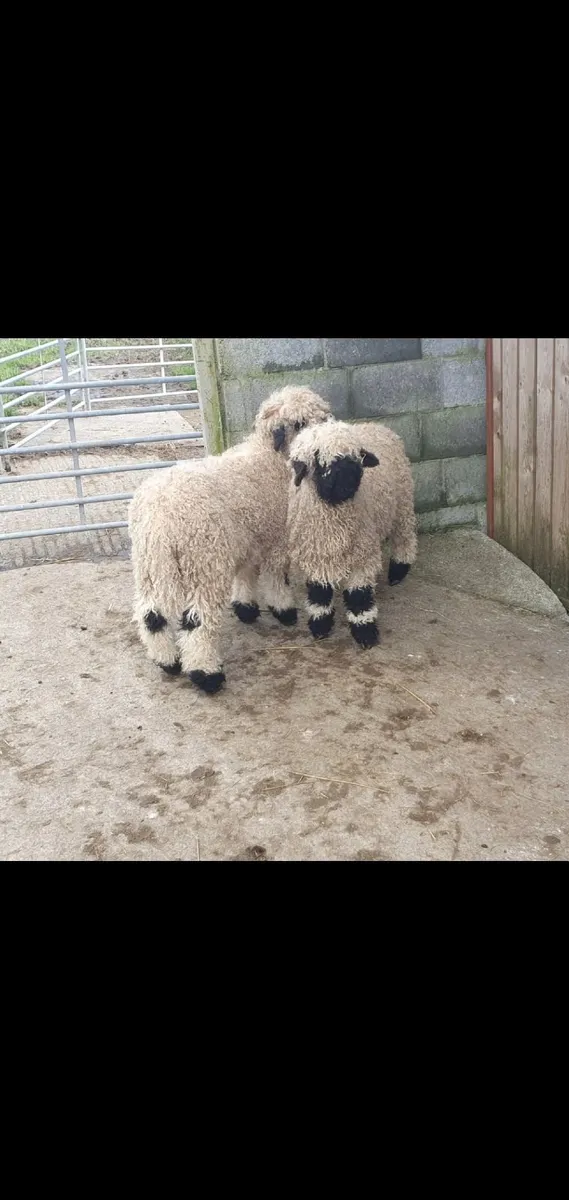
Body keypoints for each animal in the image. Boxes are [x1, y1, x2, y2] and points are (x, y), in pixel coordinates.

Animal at [128, 386, 331, 693]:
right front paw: (283, 610)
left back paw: (167, 661)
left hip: (148, 566)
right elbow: (275, 577)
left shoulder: (247, 534)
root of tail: (160, 518)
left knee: (151, 615)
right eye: (300, 423)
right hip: (204, 563)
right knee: (198, 622)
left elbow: (246, 573)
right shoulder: (275, 537)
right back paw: (206, 674)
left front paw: (246, 608)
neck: (269, 457)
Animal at [286, 418, 417, 648]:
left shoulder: (361, 556)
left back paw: (398, 571)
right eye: (318, 458)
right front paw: (320, 626)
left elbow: (359, 596)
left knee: (405, 537)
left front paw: (365, 633)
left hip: (403, 503)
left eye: (357, 456)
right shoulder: (315, 557)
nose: (349, 480)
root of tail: (375, 425)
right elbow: (319, 594)